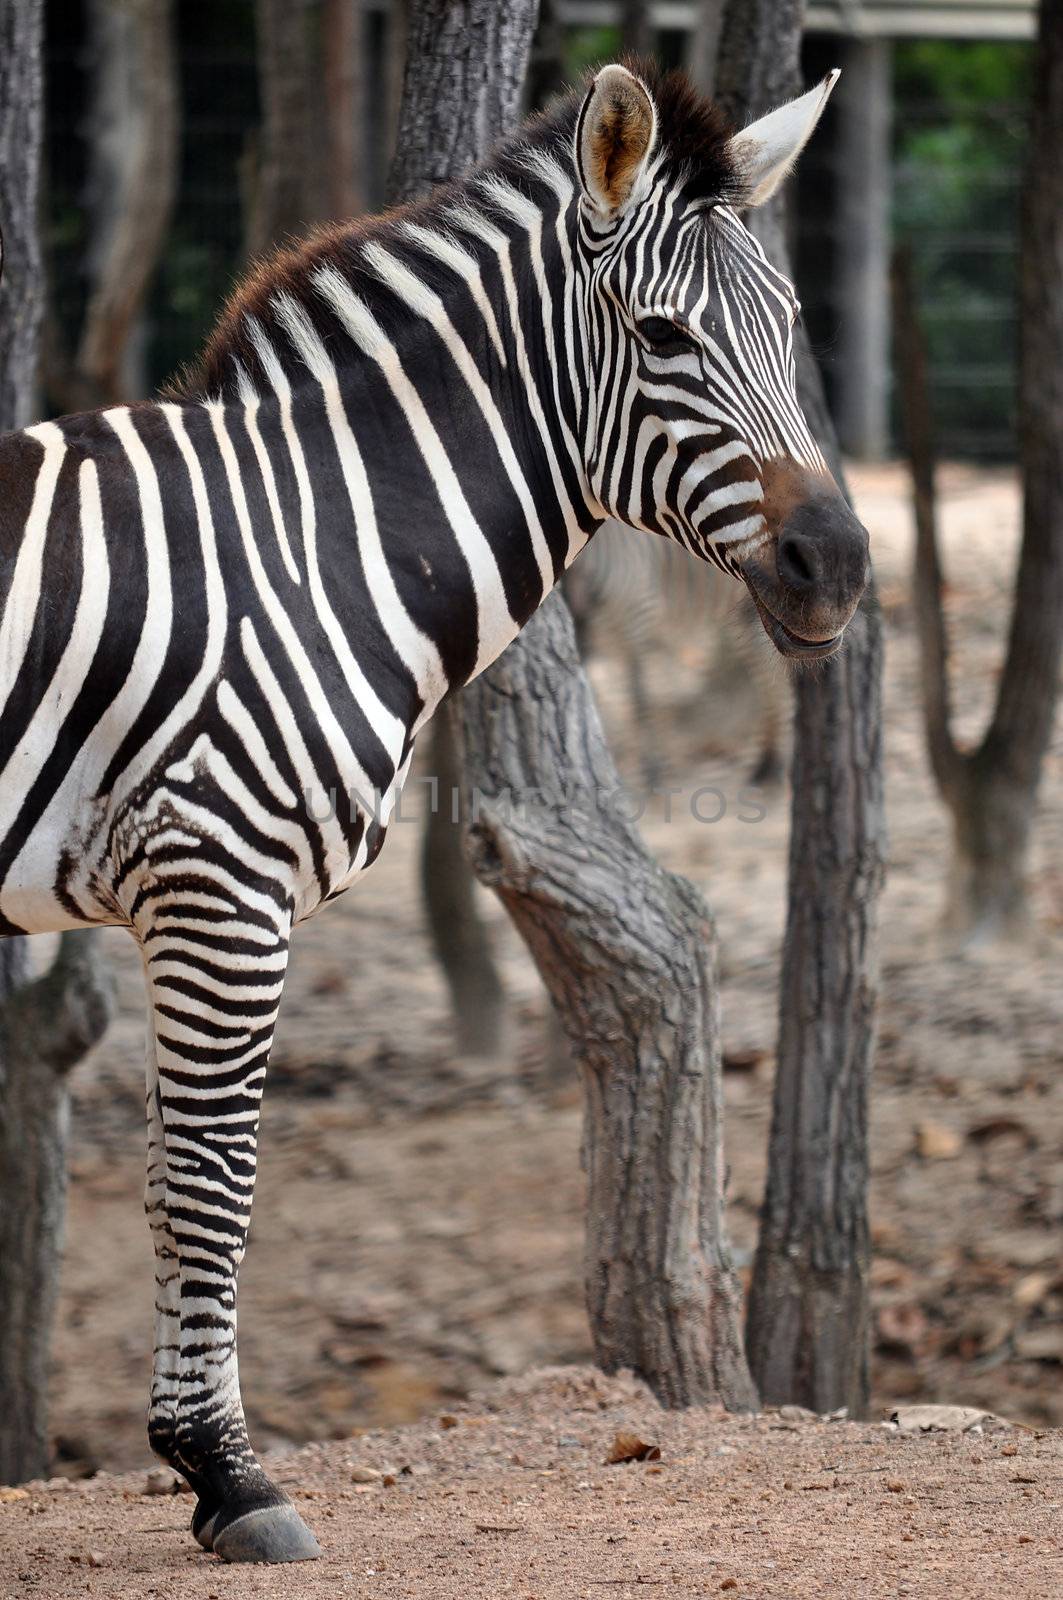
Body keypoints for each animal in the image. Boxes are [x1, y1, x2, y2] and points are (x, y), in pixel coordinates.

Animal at [0, 65, 864, 1561]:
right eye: (661, 335)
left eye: (793, 325)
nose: (840, 562)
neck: (306, 546)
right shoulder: (220, 881)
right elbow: (214, 1184)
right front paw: (230, 1476)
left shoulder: (176, 893)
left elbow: (172, 1185)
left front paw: (198, 1462)